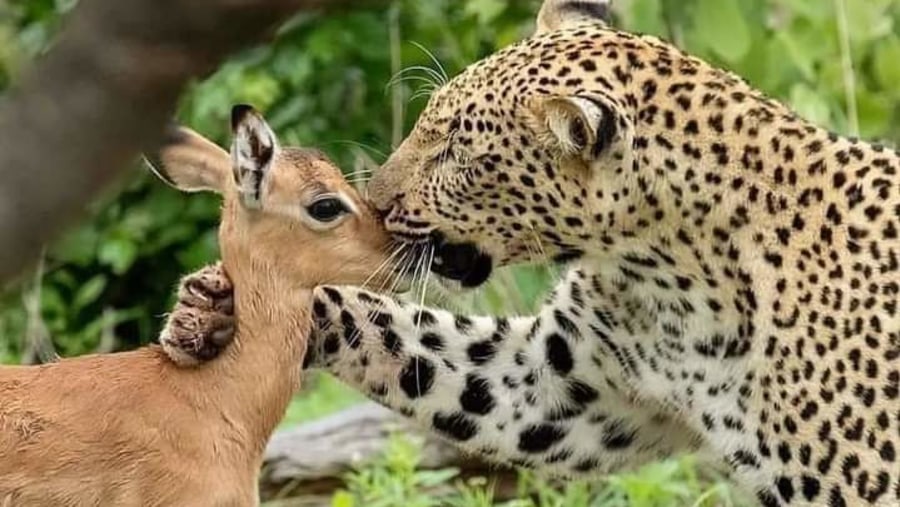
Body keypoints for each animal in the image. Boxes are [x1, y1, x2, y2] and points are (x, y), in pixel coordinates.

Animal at [160, 1, 900, 506]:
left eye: (455, 151)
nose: (377, 202)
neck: (668, 281)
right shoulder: (562, 385)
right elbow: (405, 341)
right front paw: (211, 308)